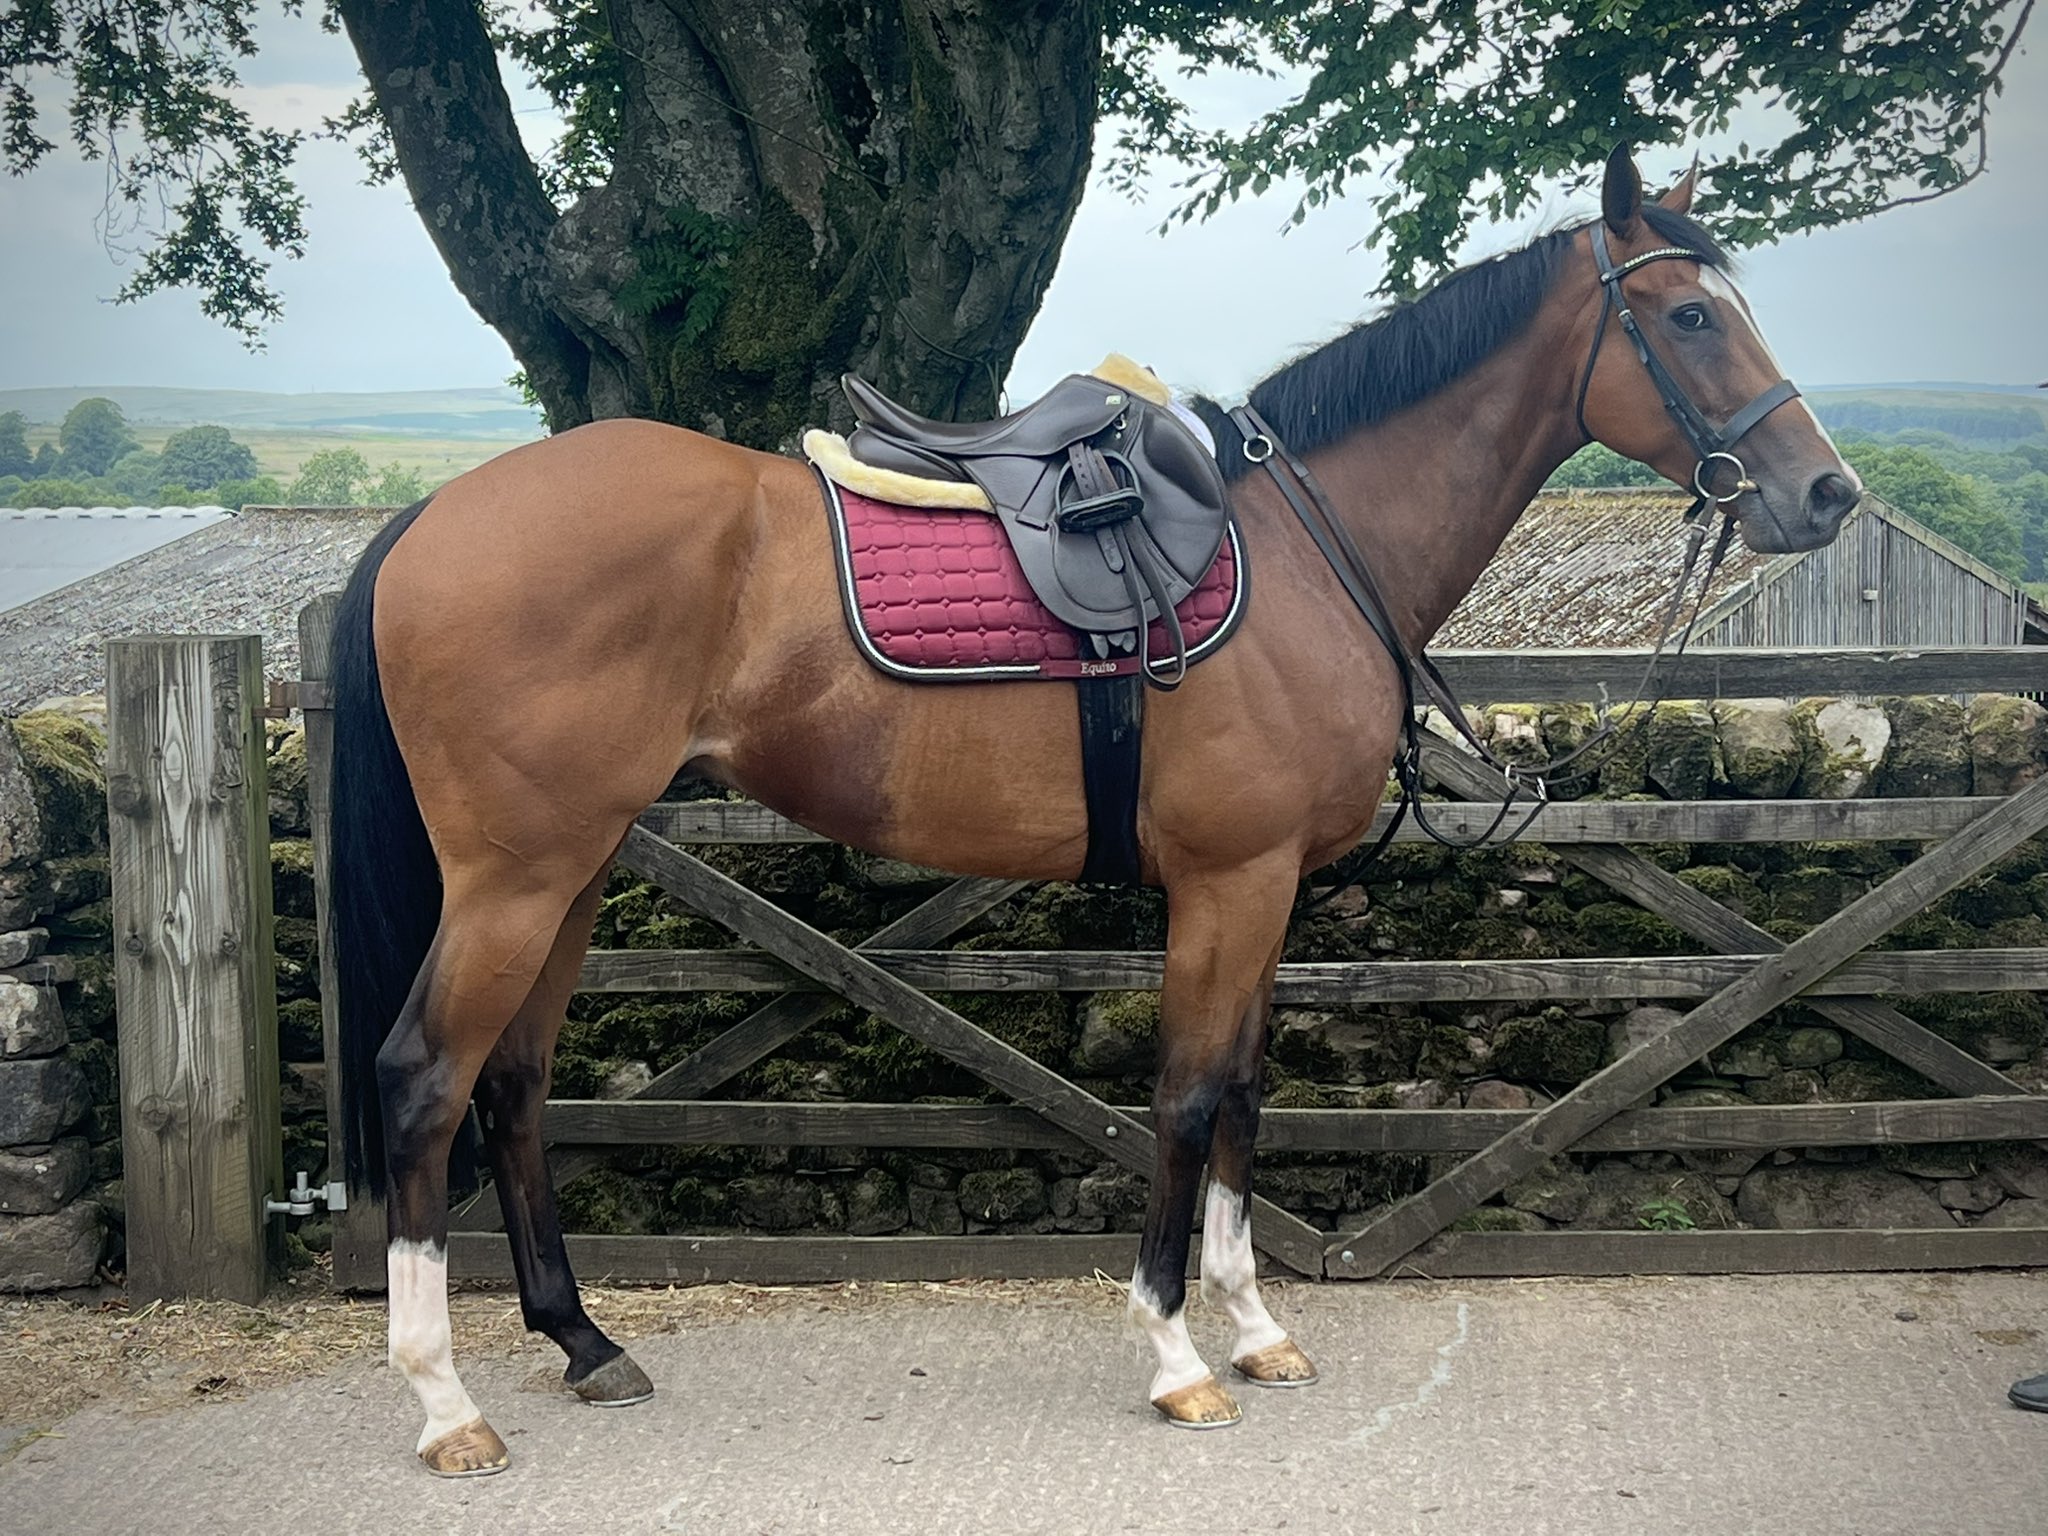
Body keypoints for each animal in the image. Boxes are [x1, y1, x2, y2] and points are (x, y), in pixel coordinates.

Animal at [327, 146, 1859, 1474]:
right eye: (1686, 315)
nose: (1825, 493)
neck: (1308, 553)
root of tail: (431, 519)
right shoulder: (1230, 882)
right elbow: (1185, 1097)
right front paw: (1175, 1355)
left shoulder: (1271, 892)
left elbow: (1241, 1091)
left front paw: (1255, 1329)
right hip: (517, 877)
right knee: (423, 1080)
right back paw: (445, 1404)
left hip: (576, 866)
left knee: (514, 1082)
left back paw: (583, 1342)